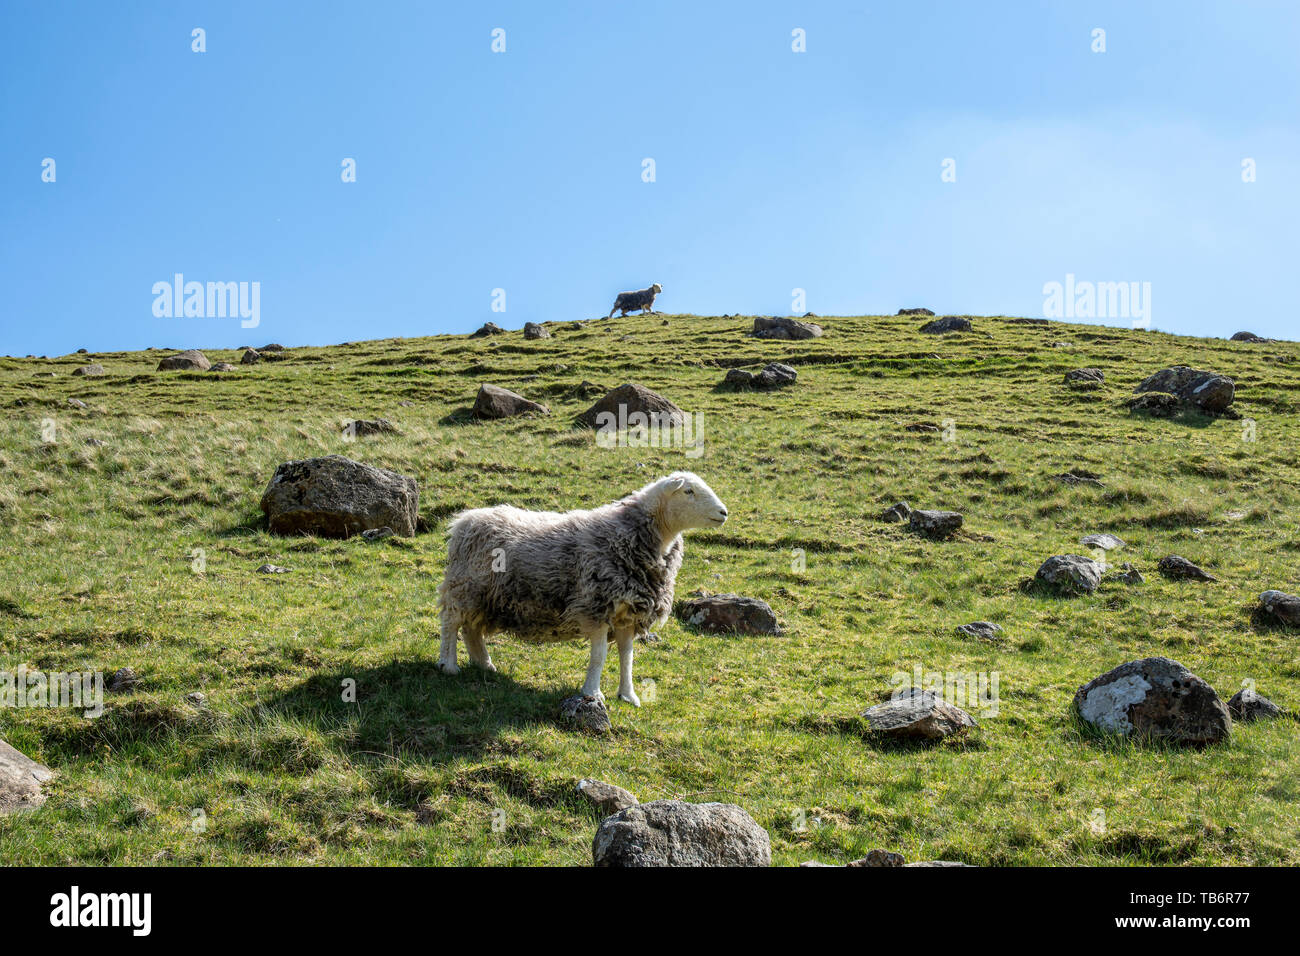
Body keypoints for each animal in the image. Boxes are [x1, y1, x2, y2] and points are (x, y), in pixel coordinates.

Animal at [439, 473, 728, 707]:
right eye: (688, 491)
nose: (724, 512)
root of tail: (464, 520)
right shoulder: (596, 605)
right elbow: (599, 655)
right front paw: (592, 693)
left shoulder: (628, 613)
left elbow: (627, 657)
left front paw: (628, 695)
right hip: (463, 587)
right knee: (451, 623)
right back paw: (448, 665)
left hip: (483, 596)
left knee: (471, 629)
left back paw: (485, 665)